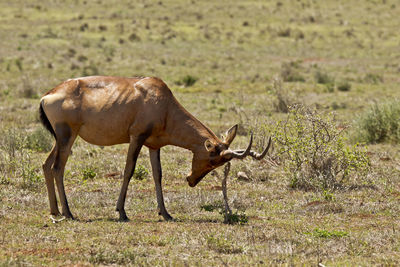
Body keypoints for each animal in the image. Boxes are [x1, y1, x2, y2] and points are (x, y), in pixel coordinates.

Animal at [39, 76, 272, 222]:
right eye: (212, 160)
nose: (191, 180)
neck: (160, 101)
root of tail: (47, 95)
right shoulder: (137, 138)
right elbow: (129, 171)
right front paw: (121, 212)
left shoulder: (153, 145)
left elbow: (157, 175)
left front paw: (165, 213)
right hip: (67, 136)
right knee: (58, 167)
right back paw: (68, 213)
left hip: (60, 139)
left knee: (46, 165)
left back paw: (55, 211)